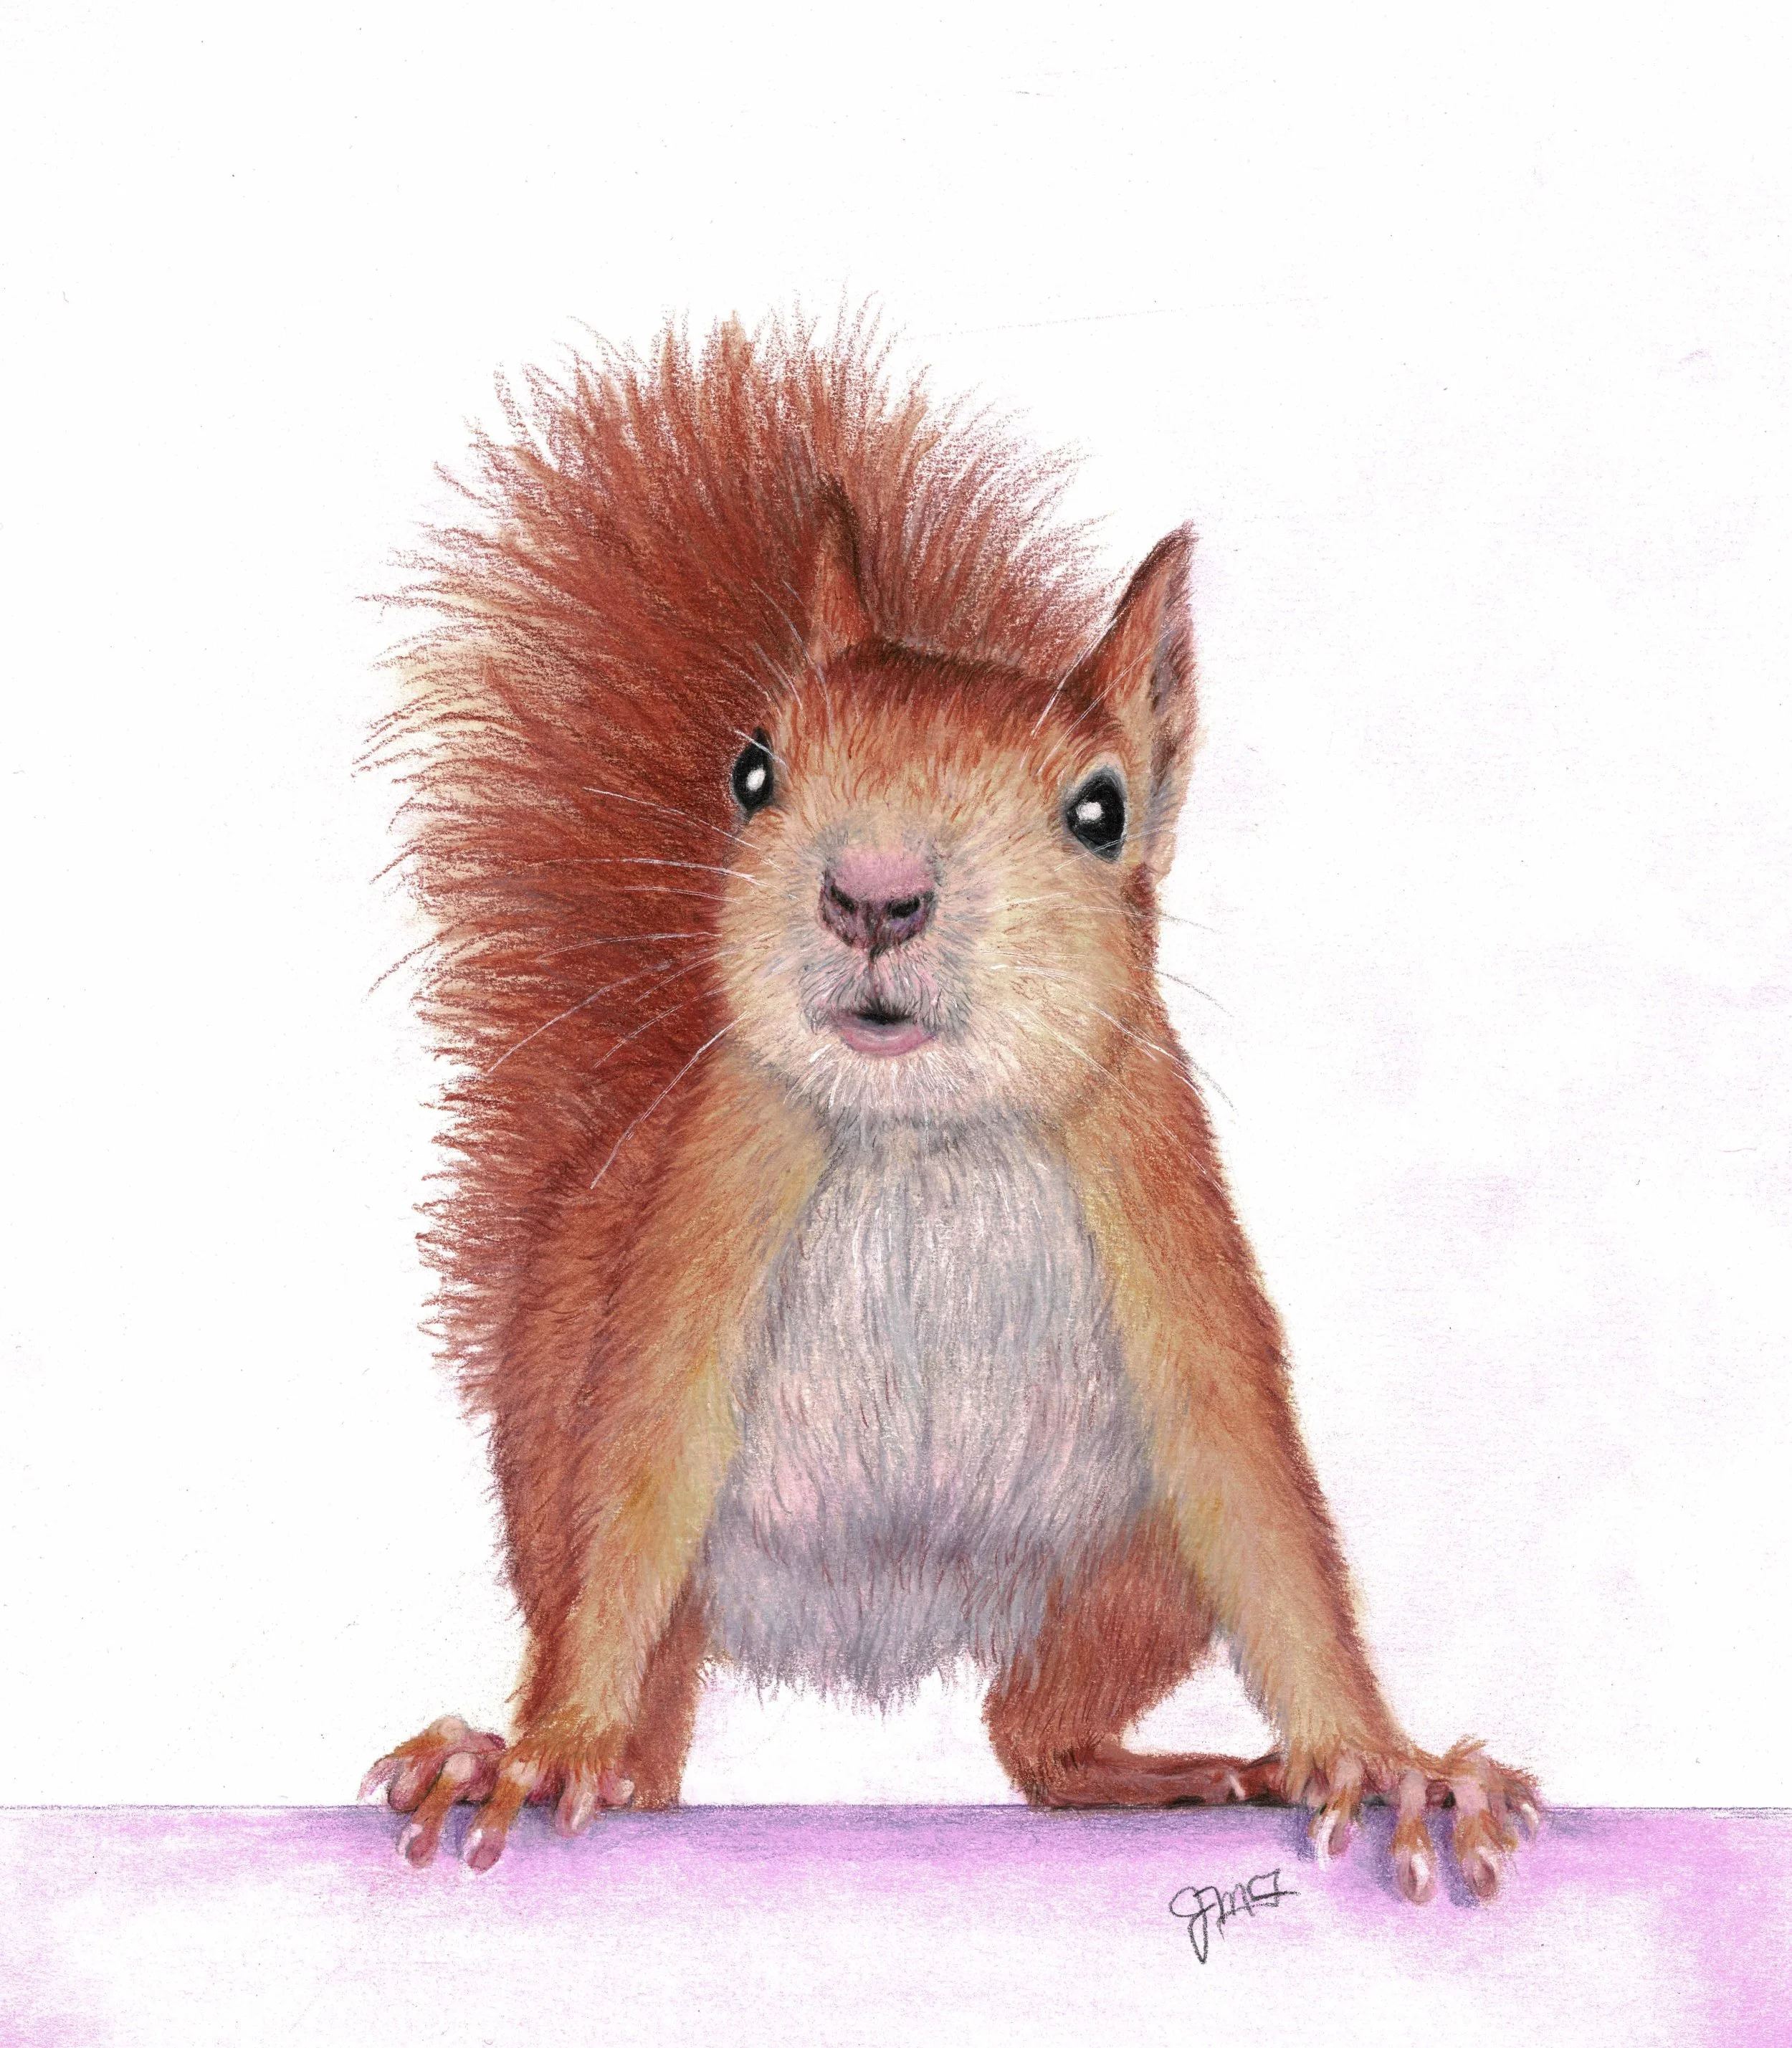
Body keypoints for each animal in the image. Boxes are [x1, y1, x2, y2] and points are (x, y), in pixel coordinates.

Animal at [361, 311, 1538, 1902]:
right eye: (752, 771)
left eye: (1101, 811)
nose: (872, 894)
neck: (928, 1139)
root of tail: (873, 1629)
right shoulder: (711, 1198)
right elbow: (642, 1462)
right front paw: (545, 1750)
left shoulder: (1160, 1192)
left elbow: (1257, 1495)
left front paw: (1383, 1762)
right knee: (657, 1723)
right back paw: (583, 1749)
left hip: (1127, 1574)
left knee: (1031, 1730)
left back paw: (1165, 1770)